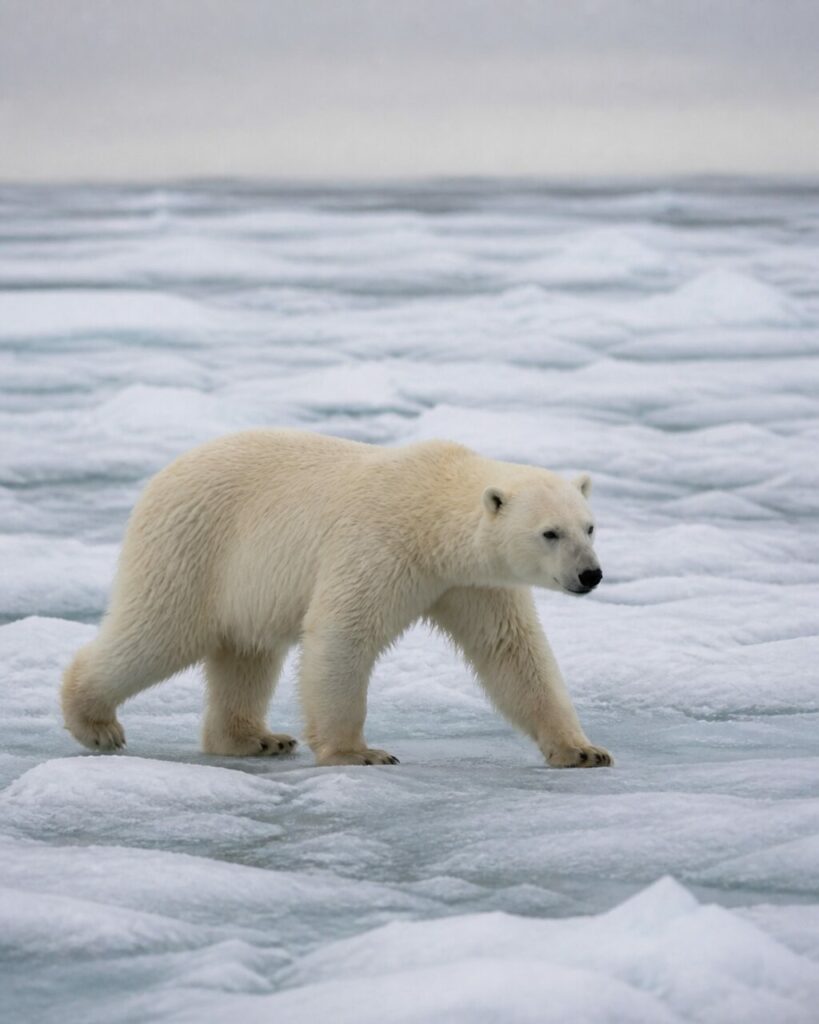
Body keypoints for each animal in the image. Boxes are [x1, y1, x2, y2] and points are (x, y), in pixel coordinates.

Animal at [62, 429, 612, 768]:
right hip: (194, 548)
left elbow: (512, 652)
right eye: (549, 533)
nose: (591, 574)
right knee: (157, 633)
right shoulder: (379, 546)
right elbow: (343, 633)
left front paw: (582, 750)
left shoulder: (472, 583)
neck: (430, 514)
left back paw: (254, 738)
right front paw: (359, 753)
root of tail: (163, 475)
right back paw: (95, 723)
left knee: (247, 653)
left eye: (589, 526)